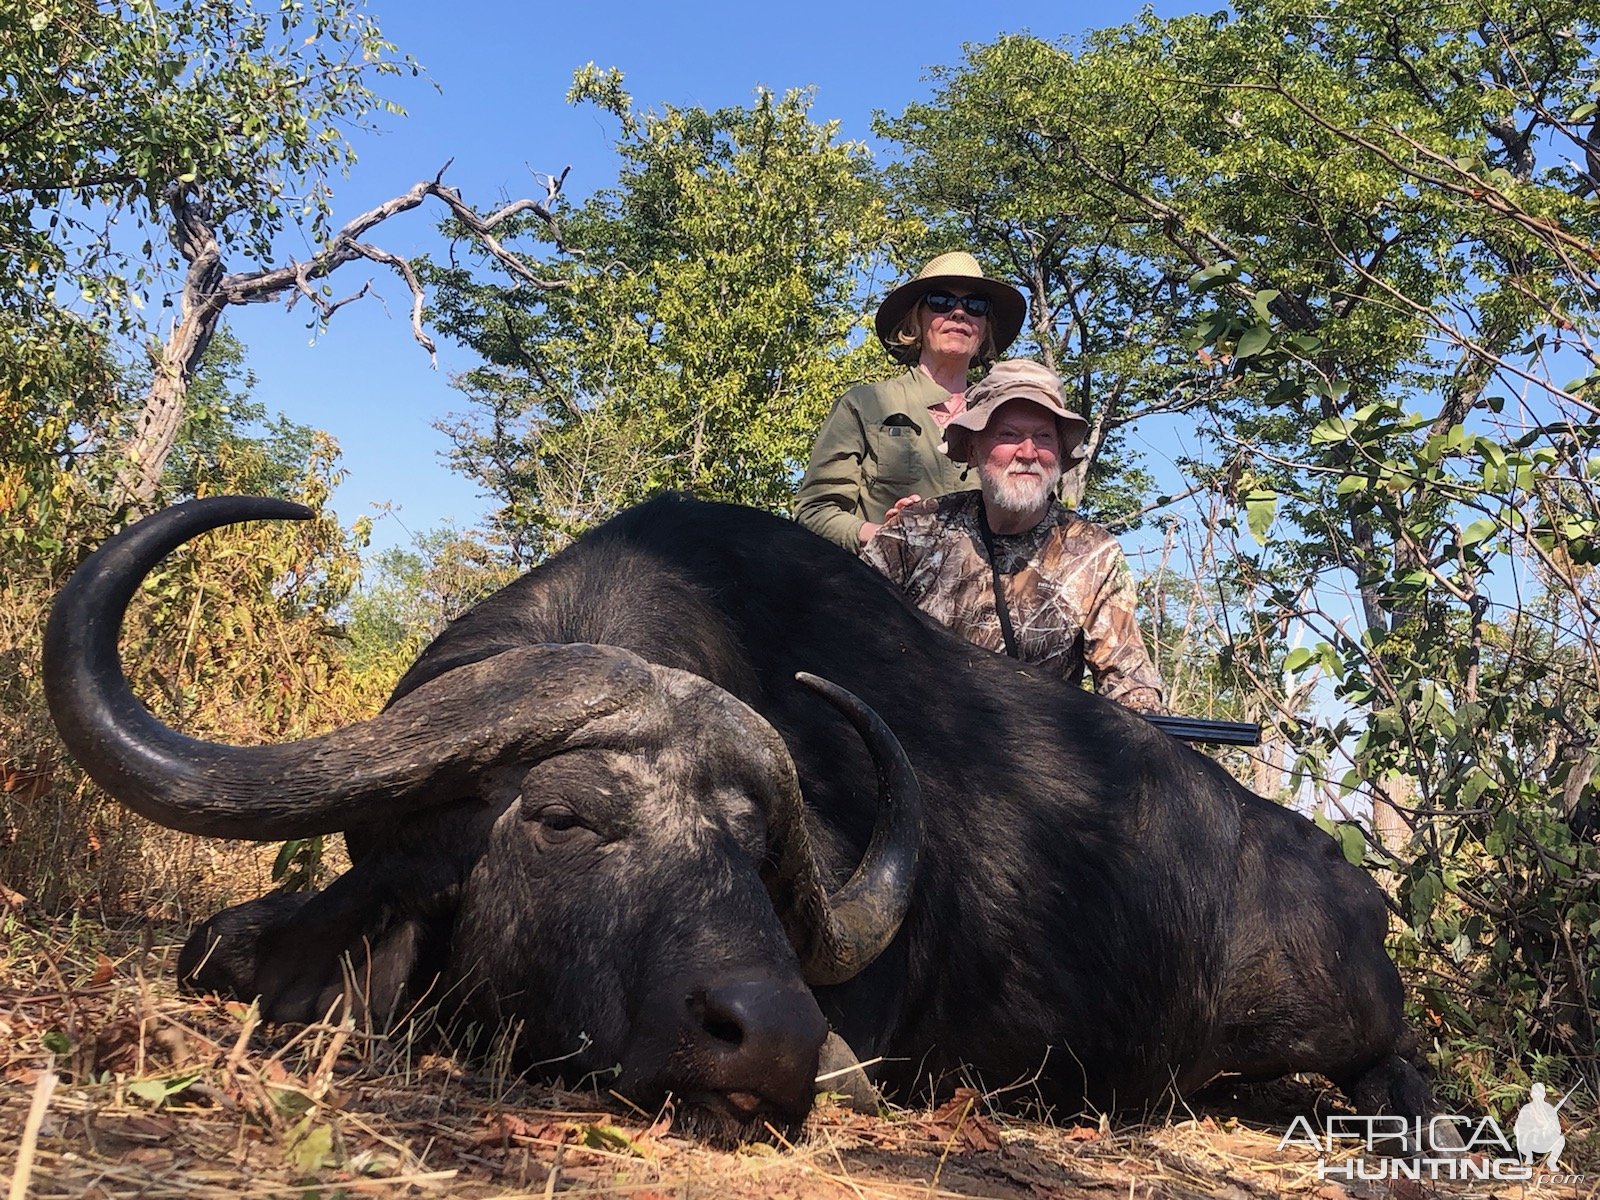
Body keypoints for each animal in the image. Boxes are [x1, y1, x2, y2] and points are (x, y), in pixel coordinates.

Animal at [43, 496, 1440, 1145]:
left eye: (756, 864)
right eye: (565, 820)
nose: (769, 1038)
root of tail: (1350, 884)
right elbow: (226, 947)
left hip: (1348, 1021)